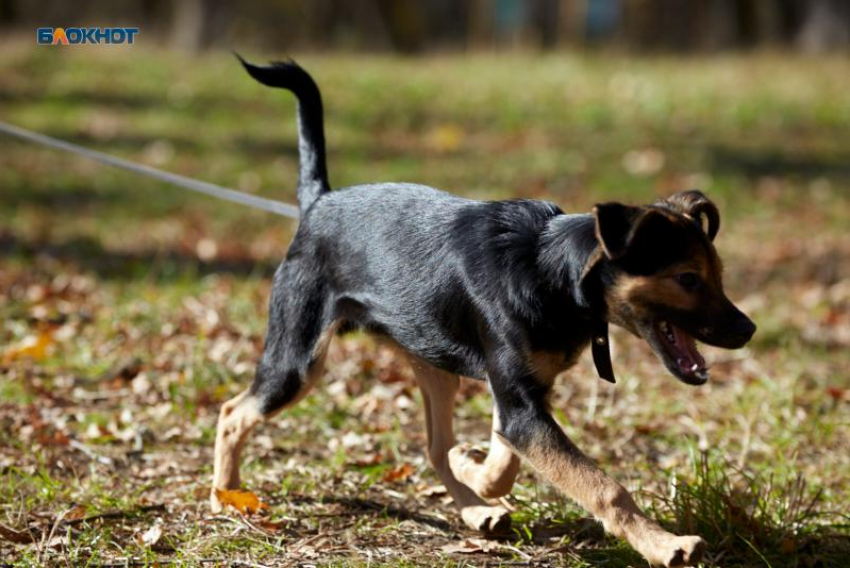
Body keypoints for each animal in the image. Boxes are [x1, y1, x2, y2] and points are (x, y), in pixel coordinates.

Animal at [212, 58, 756, 568]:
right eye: (688, 279)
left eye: (718, 275)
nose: (748, 330)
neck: (553, 272)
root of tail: (318, 203)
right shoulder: (520, 403)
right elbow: (600, 485)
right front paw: (666, 545)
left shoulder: (521, 395)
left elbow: (503, 454)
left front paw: (477, 472)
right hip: (297, 359)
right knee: (234, 411)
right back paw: (226, 495)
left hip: (432, 364)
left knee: (434, 445)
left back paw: (475, 508)